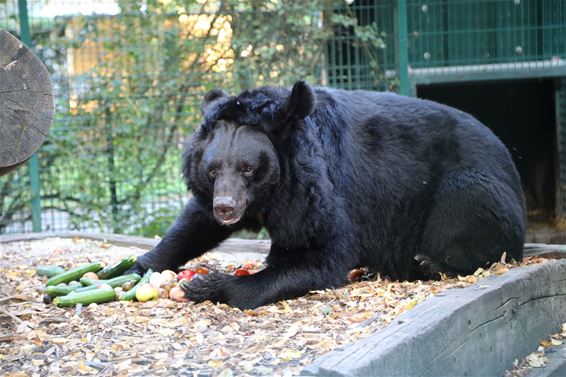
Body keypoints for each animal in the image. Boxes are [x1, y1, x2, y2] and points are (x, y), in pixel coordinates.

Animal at [133, 81, 528, 306]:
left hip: (477, 193)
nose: (227, 208)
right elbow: (196, 223)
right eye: (212, 170)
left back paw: (429, 263)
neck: (272, 192)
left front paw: (211, 286)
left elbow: (321, 252)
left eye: (248, 168)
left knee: (466, 205)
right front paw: (137, 265)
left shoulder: (319, 190)